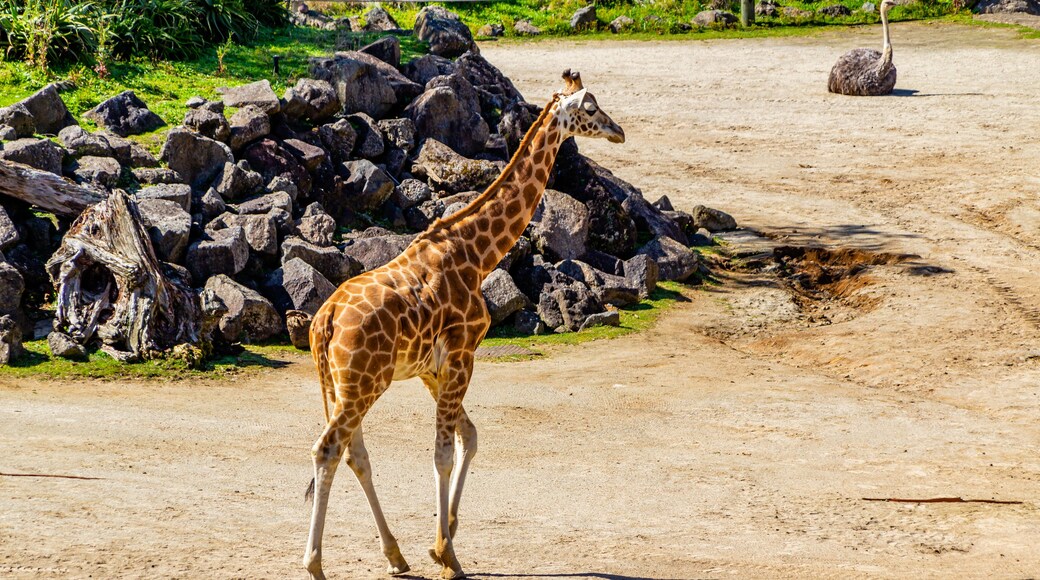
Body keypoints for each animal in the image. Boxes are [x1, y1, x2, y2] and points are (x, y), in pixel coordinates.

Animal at [304, 69, 625, 580]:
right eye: (591, 109)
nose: (619, 132)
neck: (477, 254)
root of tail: (325, 323)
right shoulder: (463, 353)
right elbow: (442, 452)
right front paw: (447, 554)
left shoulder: (432, 368)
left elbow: (468, 438)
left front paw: (444, 540)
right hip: (363, 384)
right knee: (328, 449)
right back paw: (314, 563)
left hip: (340, 384)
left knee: (355, 452)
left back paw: (395, 555)